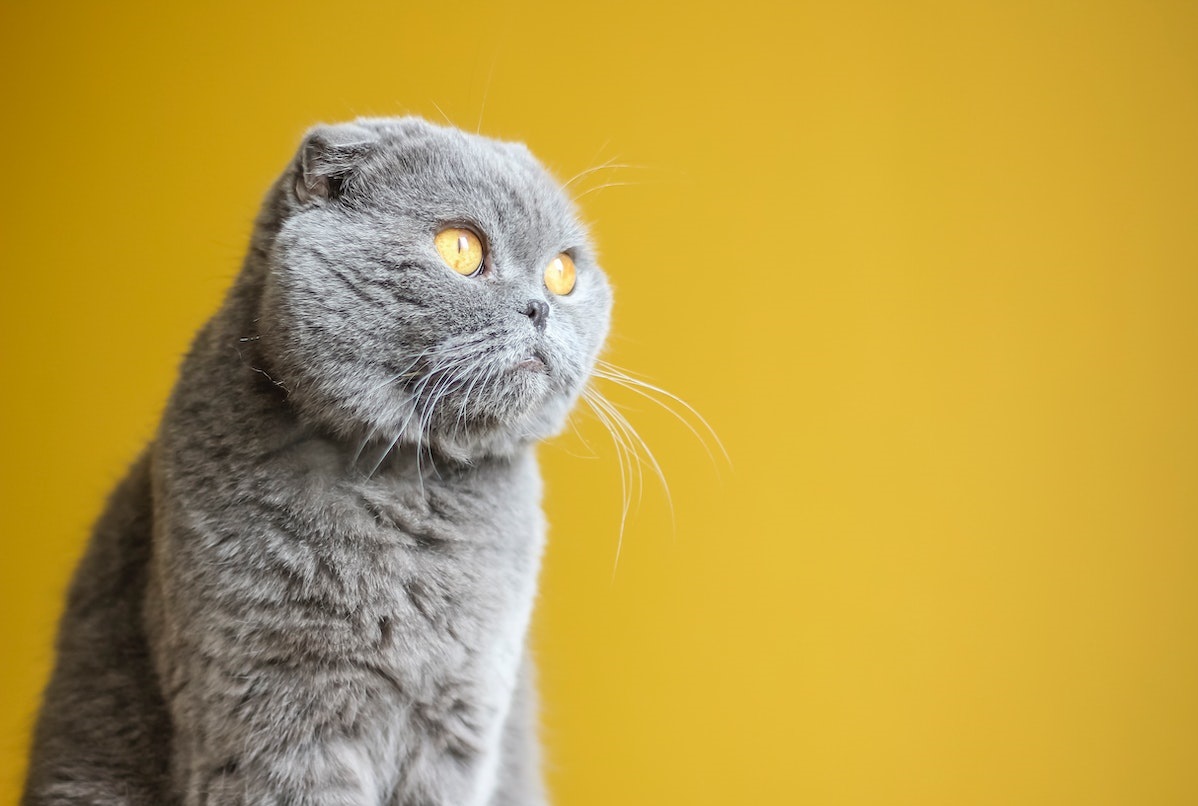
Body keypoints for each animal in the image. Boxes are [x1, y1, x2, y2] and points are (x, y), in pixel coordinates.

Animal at [23, 114, 613, 804]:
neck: (409, 484)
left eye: (563, 273)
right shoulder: (271, 709)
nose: (540, 307)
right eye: (460, 248)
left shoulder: (462, 717)